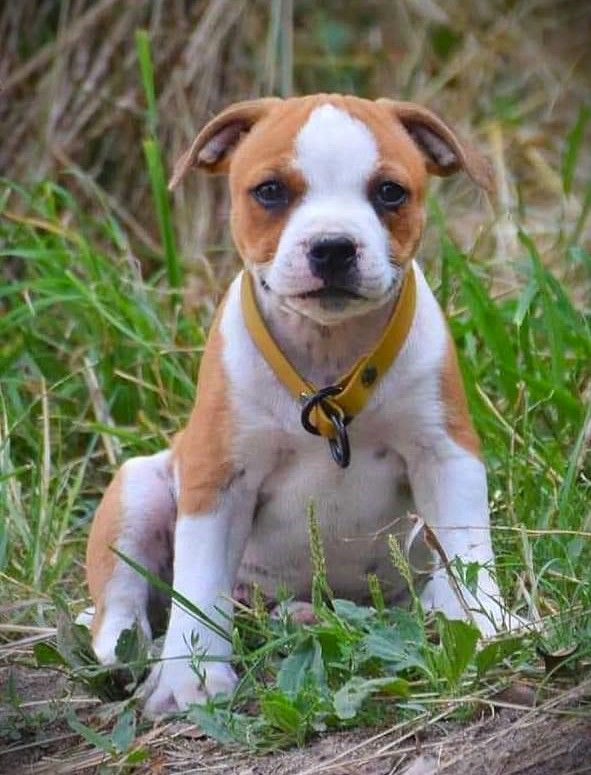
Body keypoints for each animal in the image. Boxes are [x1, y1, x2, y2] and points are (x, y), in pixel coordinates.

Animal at [84, 94, 509, 717]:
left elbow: (468, 550)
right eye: (269, 191)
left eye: (390, 192)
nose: (332, 246)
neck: (328, 355)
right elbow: (199, 583)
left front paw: (489, 626)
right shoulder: (217, 477)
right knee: (119, 602)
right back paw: (134, 648)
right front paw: (191, 679)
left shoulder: (444, 456)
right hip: (138, 491)